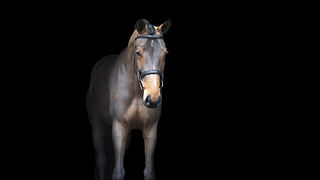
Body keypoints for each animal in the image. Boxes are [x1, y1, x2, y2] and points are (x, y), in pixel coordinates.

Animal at [85, 18, 170, 180]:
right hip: (98, 125)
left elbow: (149, 171)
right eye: (138, 53)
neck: (136, 91)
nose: (153, 99)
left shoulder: (150, 128)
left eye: (165, 54)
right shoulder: (119, 126)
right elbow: (118, 172)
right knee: (101, 160)